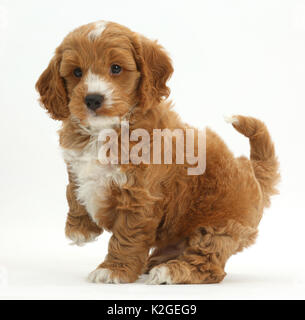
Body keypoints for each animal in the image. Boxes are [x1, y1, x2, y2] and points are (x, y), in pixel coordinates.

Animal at [35, 21, 278, 284]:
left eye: (116, 68)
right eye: (77, 73)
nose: (92, 99)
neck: (105, 132)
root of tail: (252, 172)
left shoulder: (140, 196)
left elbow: (127, 235)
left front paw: (114, 270)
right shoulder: (75, 165)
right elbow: (73, 191)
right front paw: (79, 229)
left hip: (219, 228)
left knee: (210, 265)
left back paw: (170, 271)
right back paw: (156, 262)